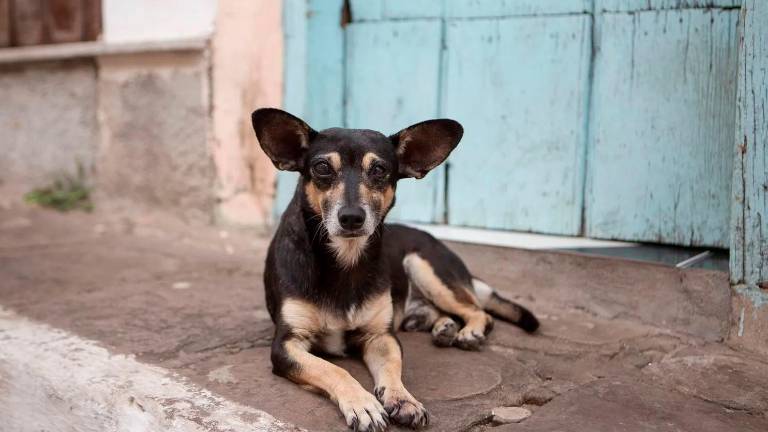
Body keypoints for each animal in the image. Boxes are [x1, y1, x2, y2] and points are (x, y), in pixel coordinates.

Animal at [252, 109, 540, 432]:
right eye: (322, 167)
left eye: (379, 170)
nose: (351, 217)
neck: (345, 260)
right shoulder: (287, 345)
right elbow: (333, 370)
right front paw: (363, 404)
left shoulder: (381, 337)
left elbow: (393, 368)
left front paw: (403, 399)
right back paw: (444, 328)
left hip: (424, 266)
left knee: (479, 311)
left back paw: (469, 331)